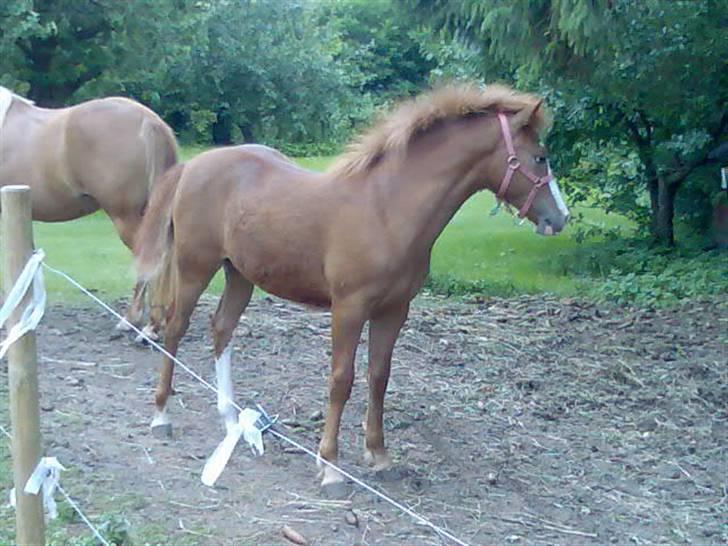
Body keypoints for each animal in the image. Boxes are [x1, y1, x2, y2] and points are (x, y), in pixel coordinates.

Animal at [135, 84, 568, 488]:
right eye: (540, 156)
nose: (560, 218)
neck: (387, 210)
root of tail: (192, 167)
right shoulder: (349, 307)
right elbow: (341, 379)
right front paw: (330, 465)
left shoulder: (394, 309)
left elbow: (379, 376)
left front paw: (378, 454)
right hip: (195, 267)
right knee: (175, 329)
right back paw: (161, 415)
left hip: (239, 273)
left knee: (221, 329)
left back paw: (229, 419)